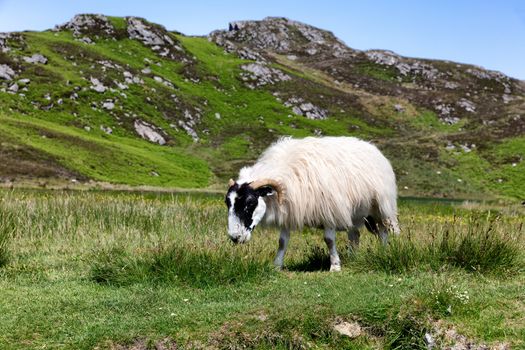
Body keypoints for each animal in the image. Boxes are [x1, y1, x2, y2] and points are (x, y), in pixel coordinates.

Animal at [223, 136, 400, 270]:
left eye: (250, 202)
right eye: (228, 203)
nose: (235, 237)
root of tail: (371, 147)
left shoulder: (330, 210)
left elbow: (329, 240)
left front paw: (335, 266)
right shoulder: (289, 212)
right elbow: (282, 242)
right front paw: (277, 265)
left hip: (380, 208)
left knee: (383, 231)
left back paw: (382, 252)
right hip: (355, 213)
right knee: (354, 234)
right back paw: (353, 257)